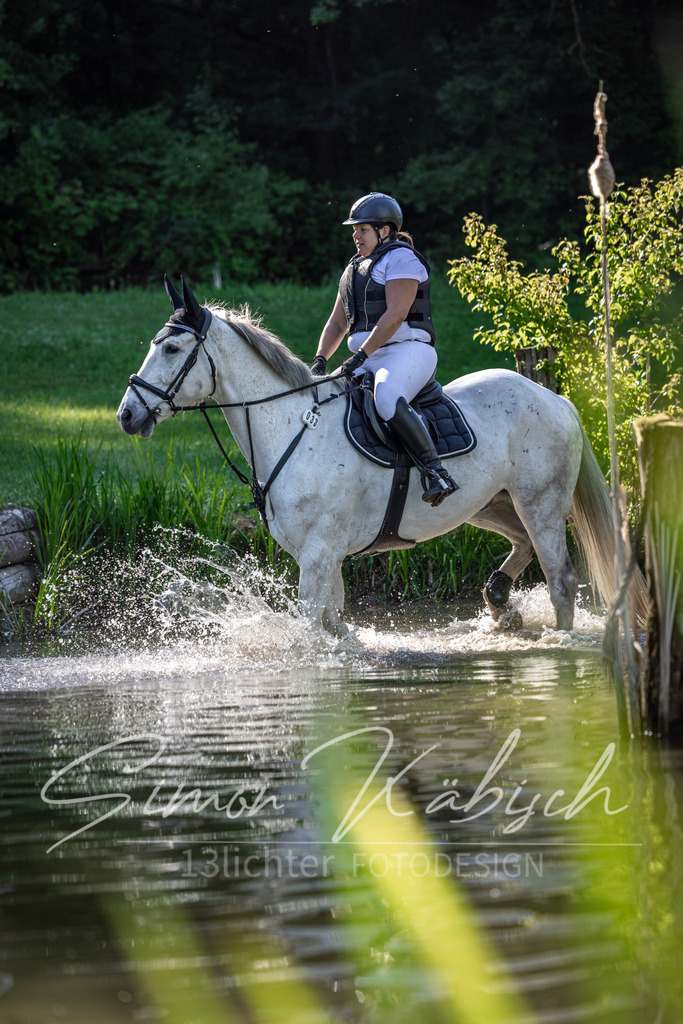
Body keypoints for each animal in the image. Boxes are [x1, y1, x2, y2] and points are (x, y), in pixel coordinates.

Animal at [117, 277, 644, 637]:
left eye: (171, 347)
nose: (127, 415)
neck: (291, 428)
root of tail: (552, 398)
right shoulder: (320, 556)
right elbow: (333, 623)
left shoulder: (320, 552)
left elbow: (311, 626)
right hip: (489, 504)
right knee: (522, 544)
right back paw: (499, 602)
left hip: (541, 503)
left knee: (560, 578)